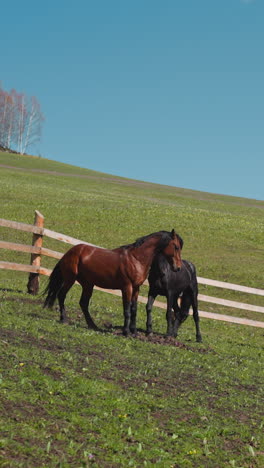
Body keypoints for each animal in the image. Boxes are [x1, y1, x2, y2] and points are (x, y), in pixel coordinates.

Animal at [43, 229, 184, 334]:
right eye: (176, 247)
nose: (178, 267)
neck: (136, 259)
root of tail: (70, 252)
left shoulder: (136, 288)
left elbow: (134, 309)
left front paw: (133, 331)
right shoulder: (127, 287)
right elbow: (127, 309)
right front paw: (126, 332)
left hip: (88, 284)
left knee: (83, 303)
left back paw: (93, 325)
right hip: (70, 279)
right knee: (61, 295)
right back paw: (64, 319)